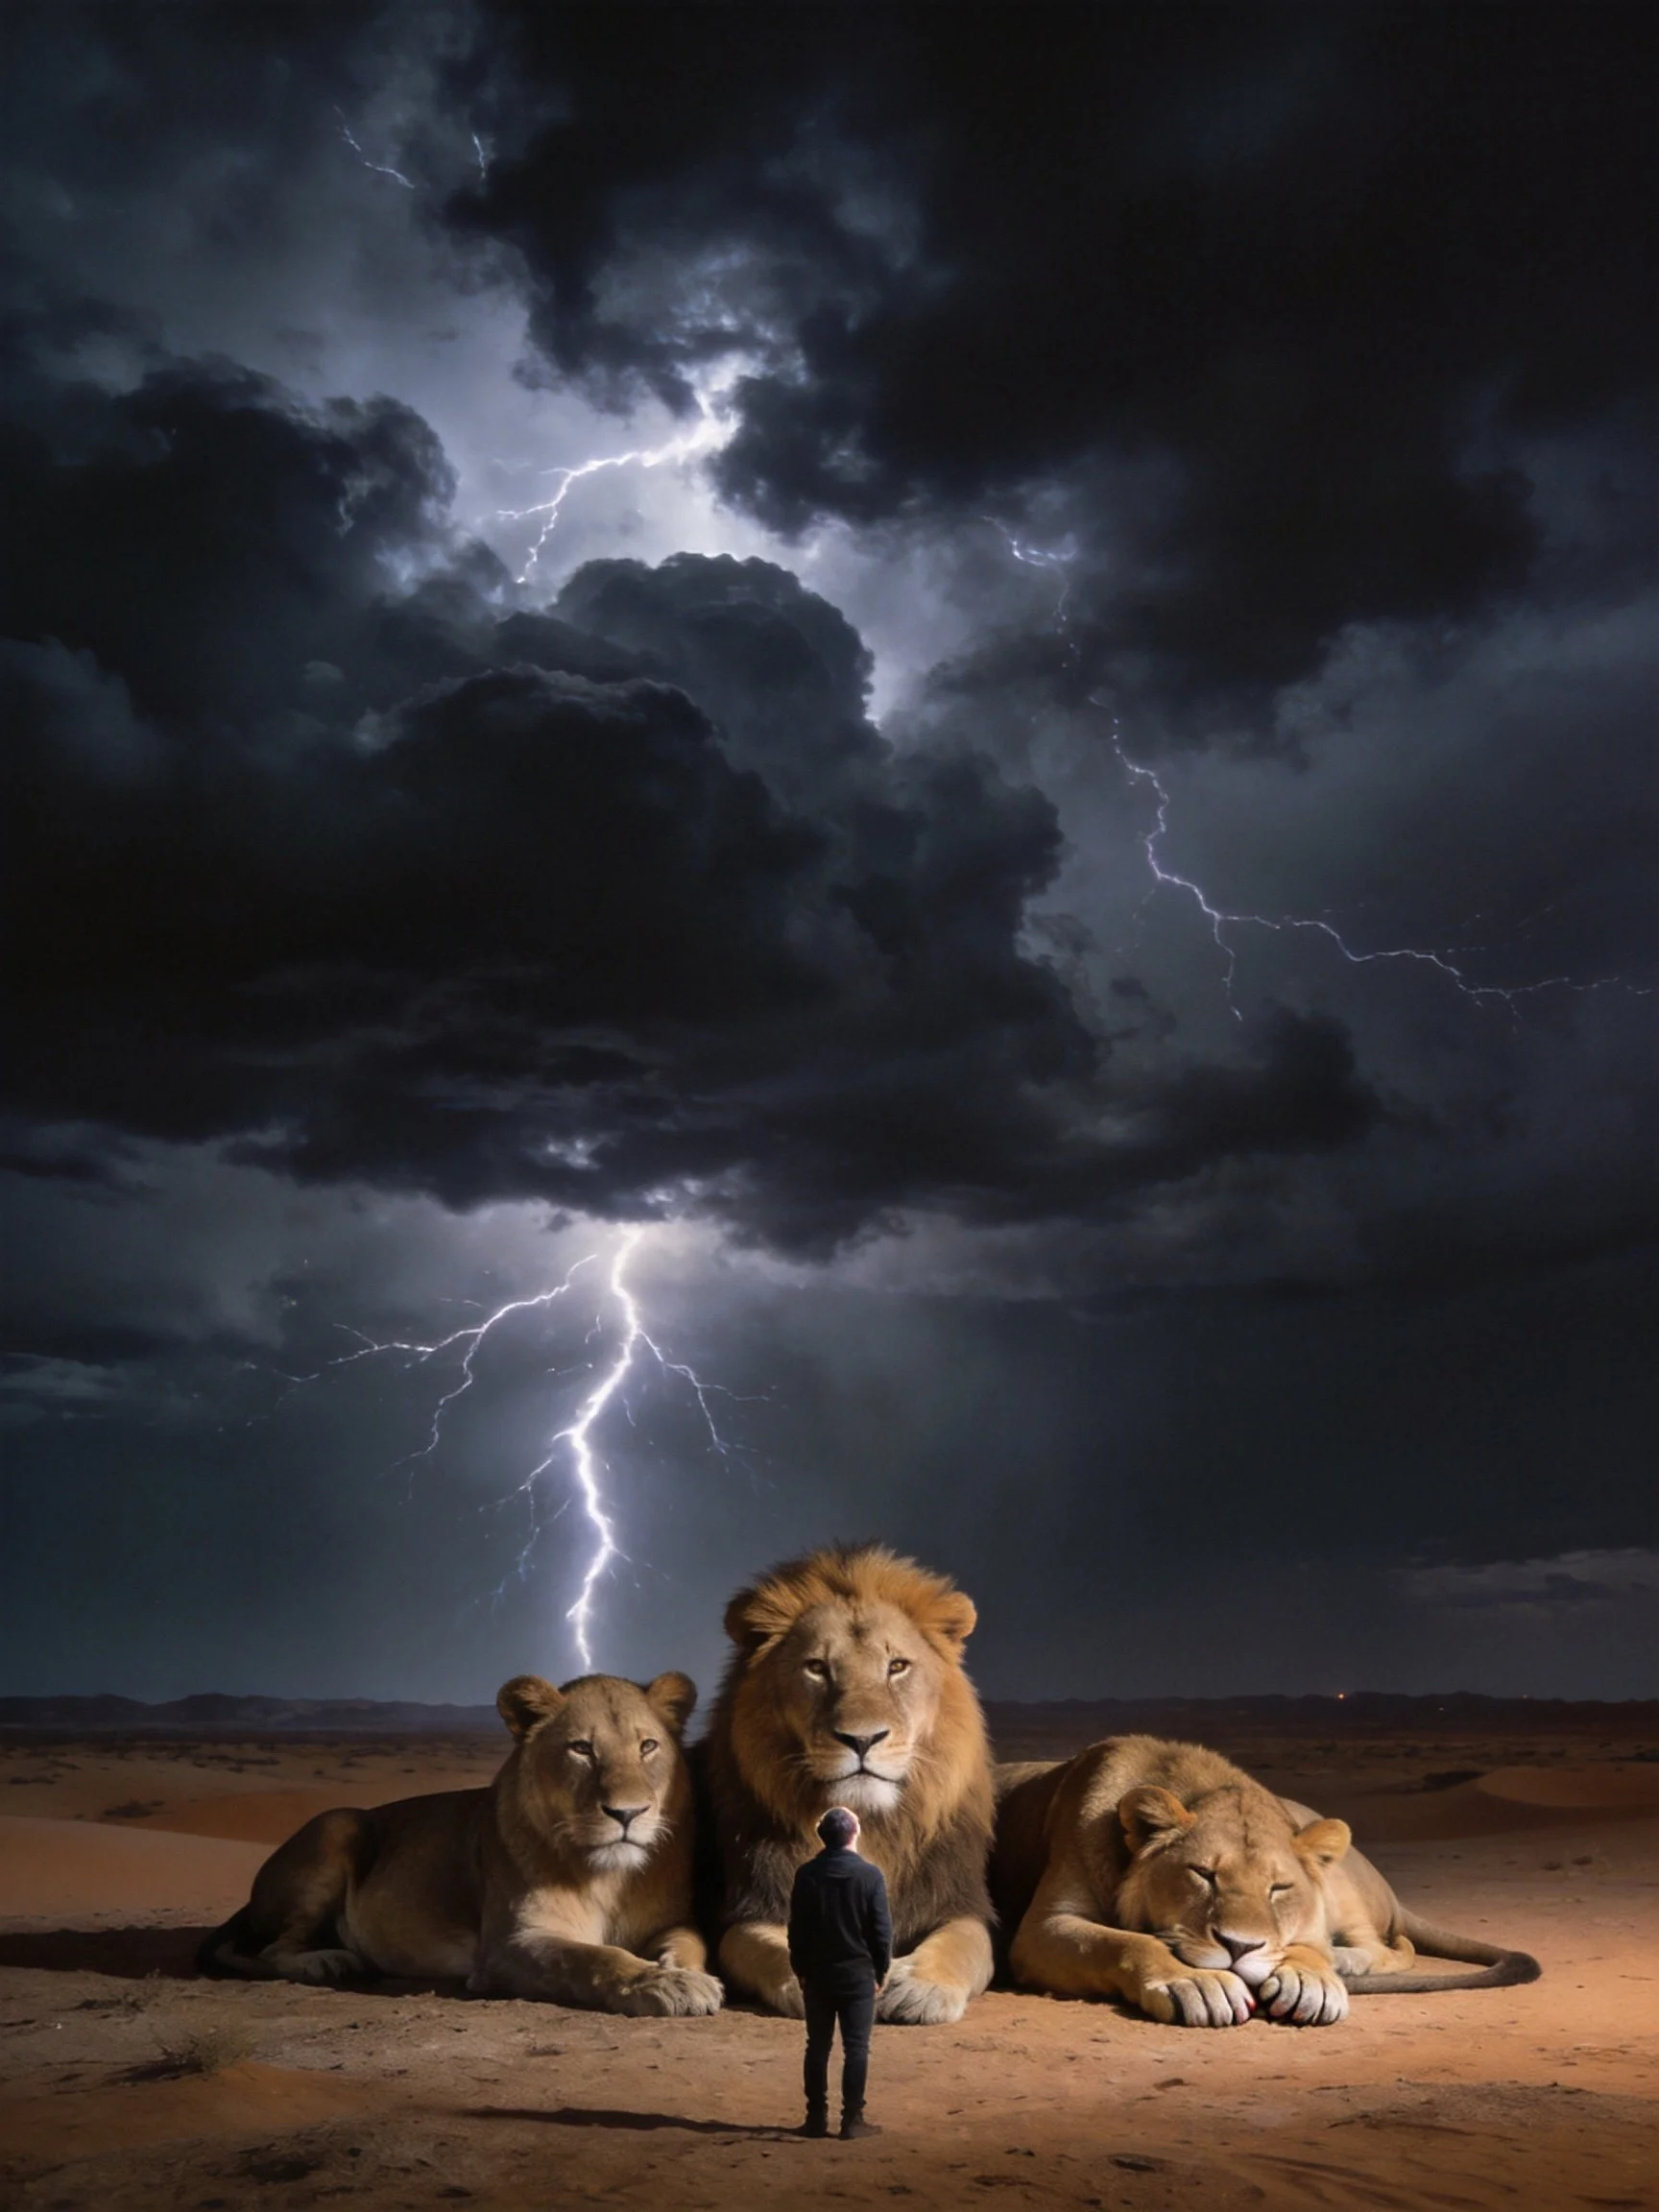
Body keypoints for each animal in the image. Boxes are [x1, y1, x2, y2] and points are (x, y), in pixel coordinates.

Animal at [198, 1671, 722, 2017]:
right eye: (581, 1749)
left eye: (647, 1747)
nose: (627, 1814)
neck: (610, 1876)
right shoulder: (509, 1946)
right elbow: (596, 1958)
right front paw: (663, 1984)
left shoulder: (672, 1920)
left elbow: (692, 1942)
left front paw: (684, 1972)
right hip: (337, 1824)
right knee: (273, 1950)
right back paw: (327, 1961)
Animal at [700, 1544, 996, 2024]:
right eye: (817, 1668)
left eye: (897, 1666)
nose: (862, 1739)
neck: (868, 1822)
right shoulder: (751, 1909)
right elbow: (770, 1947)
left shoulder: (958, 1903)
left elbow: (962, 1944)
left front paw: (921, 1987)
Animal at [991, 1737, 1540, 2028]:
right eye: (1203, 1875)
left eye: (1279, 1889)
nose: (1239, 1947)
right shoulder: (1042, 1929)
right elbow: (1126, 1942)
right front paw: (1195, 1981)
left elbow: (1308, 1947)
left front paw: (1310, 1979)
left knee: (1386, 1948)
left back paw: (1342, 1962)